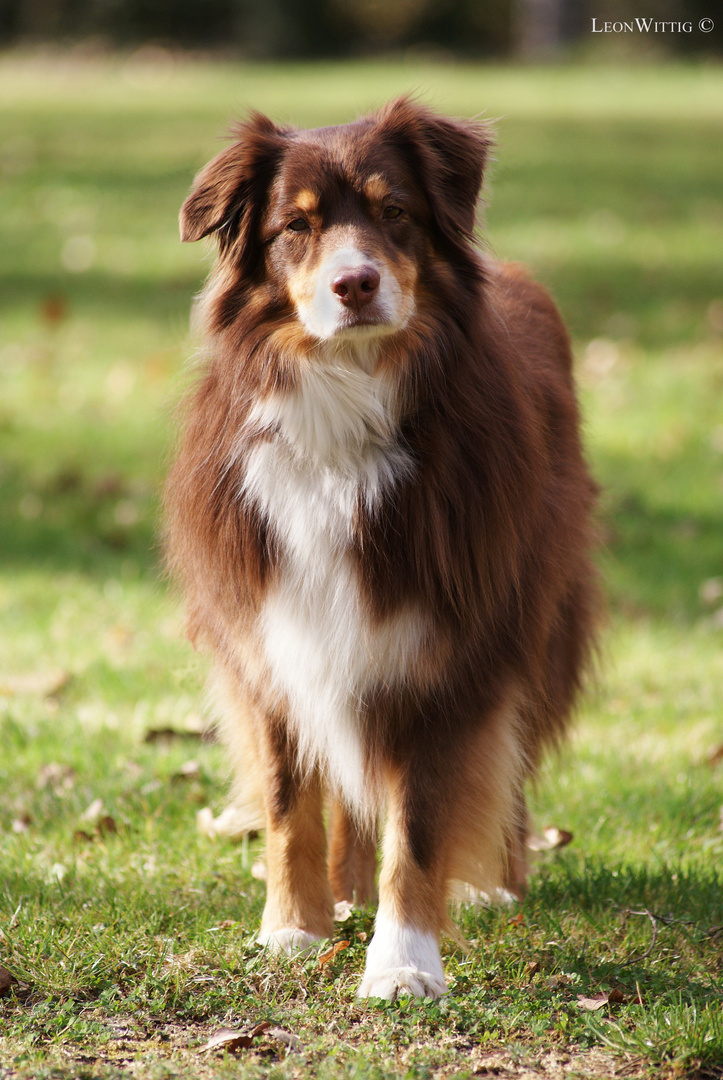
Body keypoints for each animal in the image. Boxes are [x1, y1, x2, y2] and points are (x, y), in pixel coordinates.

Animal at [165, 97, 596, 997]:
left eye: (394, 211)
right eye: (295, 226)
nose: (354, 283)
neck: (348, 401)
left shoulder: (448, 652)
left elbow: (421, 822)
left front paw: (403, 963)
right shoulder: (271, 638)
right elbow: (290, 803)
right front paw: (293, 930)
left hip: (534, 615)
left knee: (507, 756)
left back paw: (498, 884)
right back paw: (346, 891)